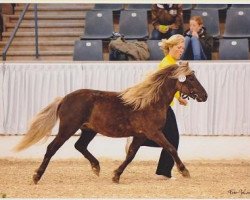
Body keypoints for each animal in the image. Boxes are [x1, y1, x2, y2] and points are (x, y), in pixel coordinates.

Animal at [14, 63, 208, 184]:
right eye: (190, 78)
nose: (205, 96)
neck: (149, 102)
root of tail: (64, 99)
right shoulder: (153, 133)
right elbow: (171, 148)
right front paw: (184, 171)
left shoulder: (139, 135)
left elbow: (130, 155)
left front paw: (116, 175)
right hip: (68, 129)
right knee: (52, 148)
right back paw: (36, 176)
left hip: (88, 130)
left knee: (80, 146)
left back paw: (96, 167)